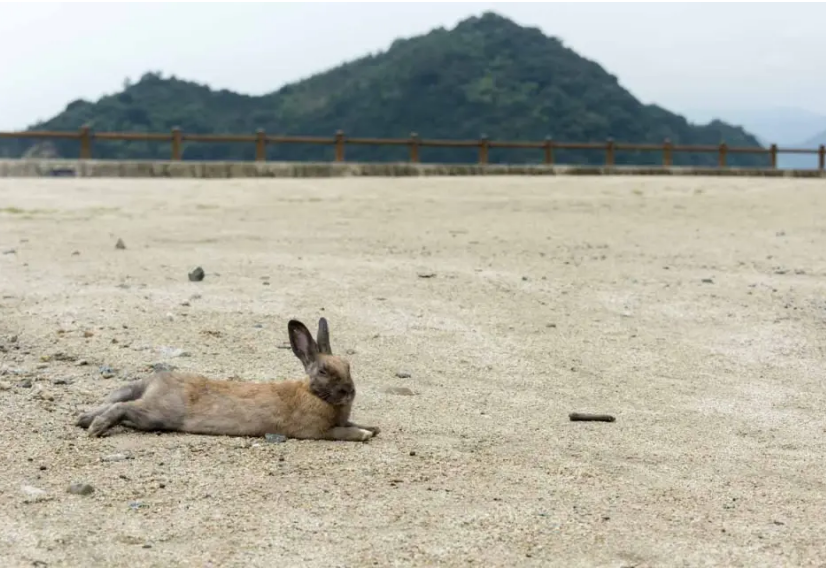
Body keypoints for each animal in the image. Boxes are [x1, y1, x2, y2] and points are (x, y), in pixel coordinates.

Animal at [74, 318, 380, 442]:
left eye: (348, 366)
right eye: (323, 372)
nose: (349, 392)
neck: (313, 393)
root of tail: (153, 383)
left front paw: (372, 427)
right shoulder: (318, 430)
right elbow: (343, 432)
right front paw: (363, 435)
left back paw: (85, 420)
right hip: (158, 414)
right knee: (123, 408)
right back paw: (96, 428)